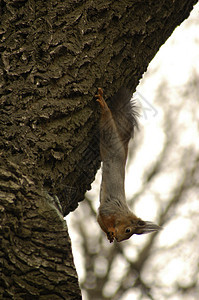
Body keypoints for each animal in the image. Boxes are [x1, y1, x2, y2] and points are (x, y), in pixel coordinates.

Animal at [95, 88, 160, 243]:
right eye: (128, 230)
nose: (119, 240)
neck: (122, 214)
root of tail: (124, 148)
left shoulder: (102, 214)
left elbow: (100, 221)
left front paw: (109, 235)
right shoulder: (109, 208)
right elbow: (104, 217)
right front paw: (111, 230)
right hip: (111, 140)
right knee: (107, 121)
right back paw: (104, 105)